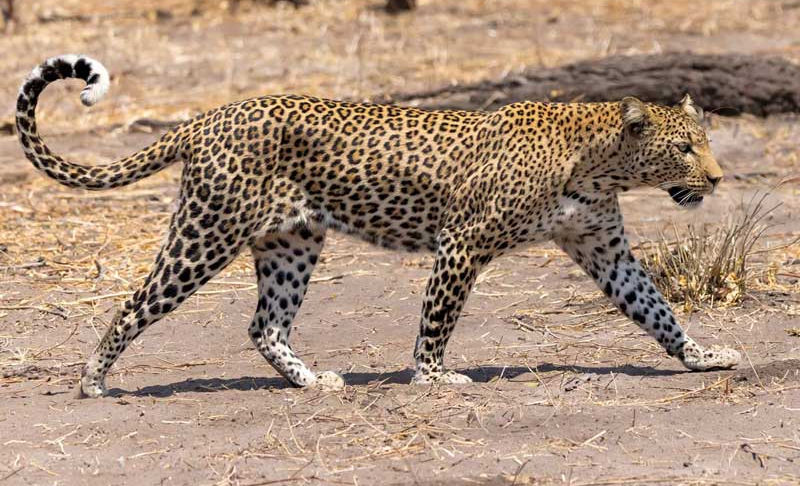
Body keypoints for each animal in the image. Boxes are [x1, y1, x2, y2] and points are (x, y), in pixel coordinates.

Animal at [15, 54, 741, 398]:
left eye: (704, 143)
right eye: (685, 148)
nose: (718, 178)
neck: (599, 164)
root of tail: (204, 118)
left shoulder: (604, 248)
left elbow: (655, 308)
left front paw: (701, 355)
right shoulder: (462, 243)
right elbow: (437, 320)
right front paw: (432, 378)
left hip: (292, 241)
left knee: (264, 324)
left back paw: (311, 382)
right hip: (207, 231)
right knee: (136, 301)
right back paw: (92, 379)